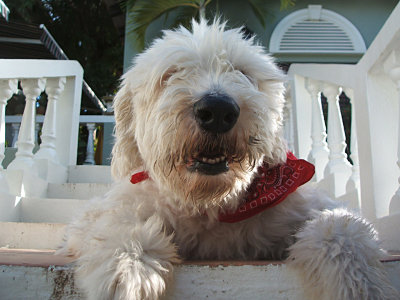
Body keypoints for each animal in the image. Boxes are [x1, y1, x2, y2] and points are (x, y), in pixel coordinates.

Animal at [61, 19, 398, 298]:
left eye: (243, 73)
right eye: (171, 74)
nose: (218, 110)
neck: (211, 206)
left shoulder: (305, 206)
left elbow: (341, 225)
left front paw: (358, 283)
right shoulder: (112, 208)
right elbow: (114, 222)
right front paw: (128, 270)